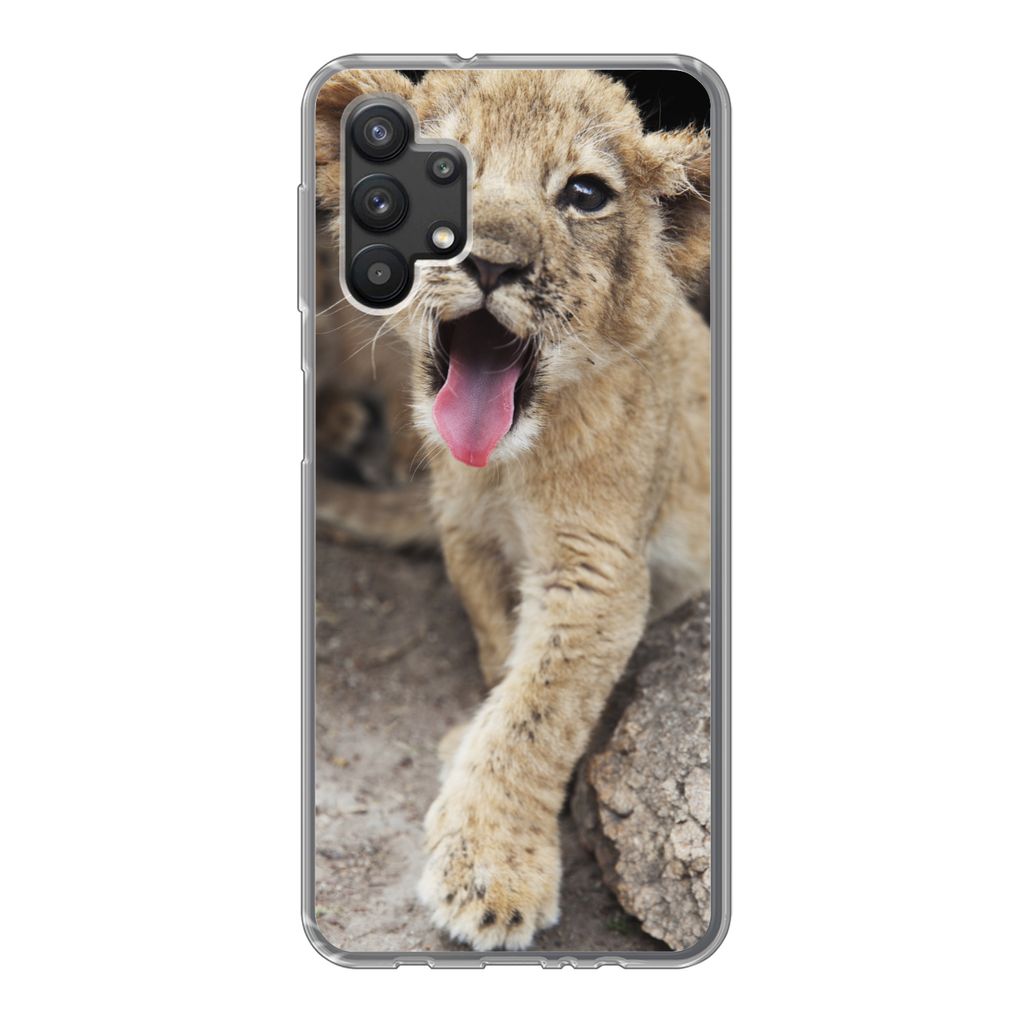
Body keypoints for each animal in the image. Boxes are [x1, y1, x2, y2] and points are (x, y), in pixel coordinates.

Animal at [315, 67, 711, 950]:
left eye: (585, 194)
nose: (491, 263)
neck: (505, 471)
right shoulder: (469, 541)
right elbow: (504, 660)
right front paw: (472, 756)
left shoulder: (598, 571)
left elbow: (537, 711)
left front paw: (491, 868)